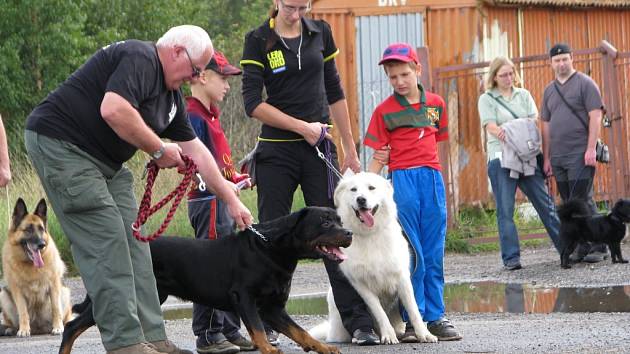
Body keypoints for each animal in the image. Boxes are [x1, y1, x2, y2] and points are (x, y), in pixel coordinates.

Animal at [0, 198, 73, 336]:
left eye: (41, 229)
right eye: (28, 230)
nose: (42, 244)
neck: (31, 265)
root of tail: (39, 329)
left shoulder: (54, 286)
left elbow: (56, 308)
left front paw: (58, 327)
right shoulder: (17, 291)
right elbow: (23, 311)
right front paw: (23, 329)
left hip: (65, 293)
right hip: (3, 296)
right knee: (12, 322)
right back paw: (10, 329)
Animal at [58, 206, 354, 354]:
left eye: (340, 220)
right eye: (325, 222)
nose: (349, 232)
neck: (273, 249)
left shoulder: (272, 308)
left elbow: (299, 330)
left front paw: (322, 347)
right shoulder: (245, 298)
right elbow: (258, 331)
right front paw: (269, 351)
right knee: (71, 326)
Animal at [308, 170, 436, 344]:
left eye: (371, 188)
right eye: (353, 190)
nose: (361, 199)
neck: (370, 235)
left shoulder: (402, 278)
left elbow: (413, 310)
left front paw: (424, 334)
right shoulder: (361, 284)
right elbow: (379, 312)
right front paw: (388, 335)